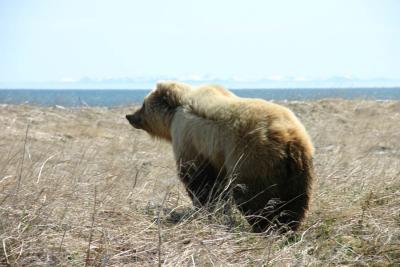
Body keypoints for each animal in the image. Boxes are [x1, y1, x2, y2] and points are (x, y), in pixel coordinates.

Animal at [126, 81, 314, 232]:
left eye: (143, 104)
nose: (130, 116)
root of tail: (288, 138)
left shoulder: (191, 140)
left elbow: (201, 182)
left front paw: (206, 207)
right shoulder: (216, 156)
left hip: (253, 159)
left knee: (255, 198)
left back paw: (265, 226)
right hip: (299, 168)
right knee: (295, 200)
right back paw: (288, 227)